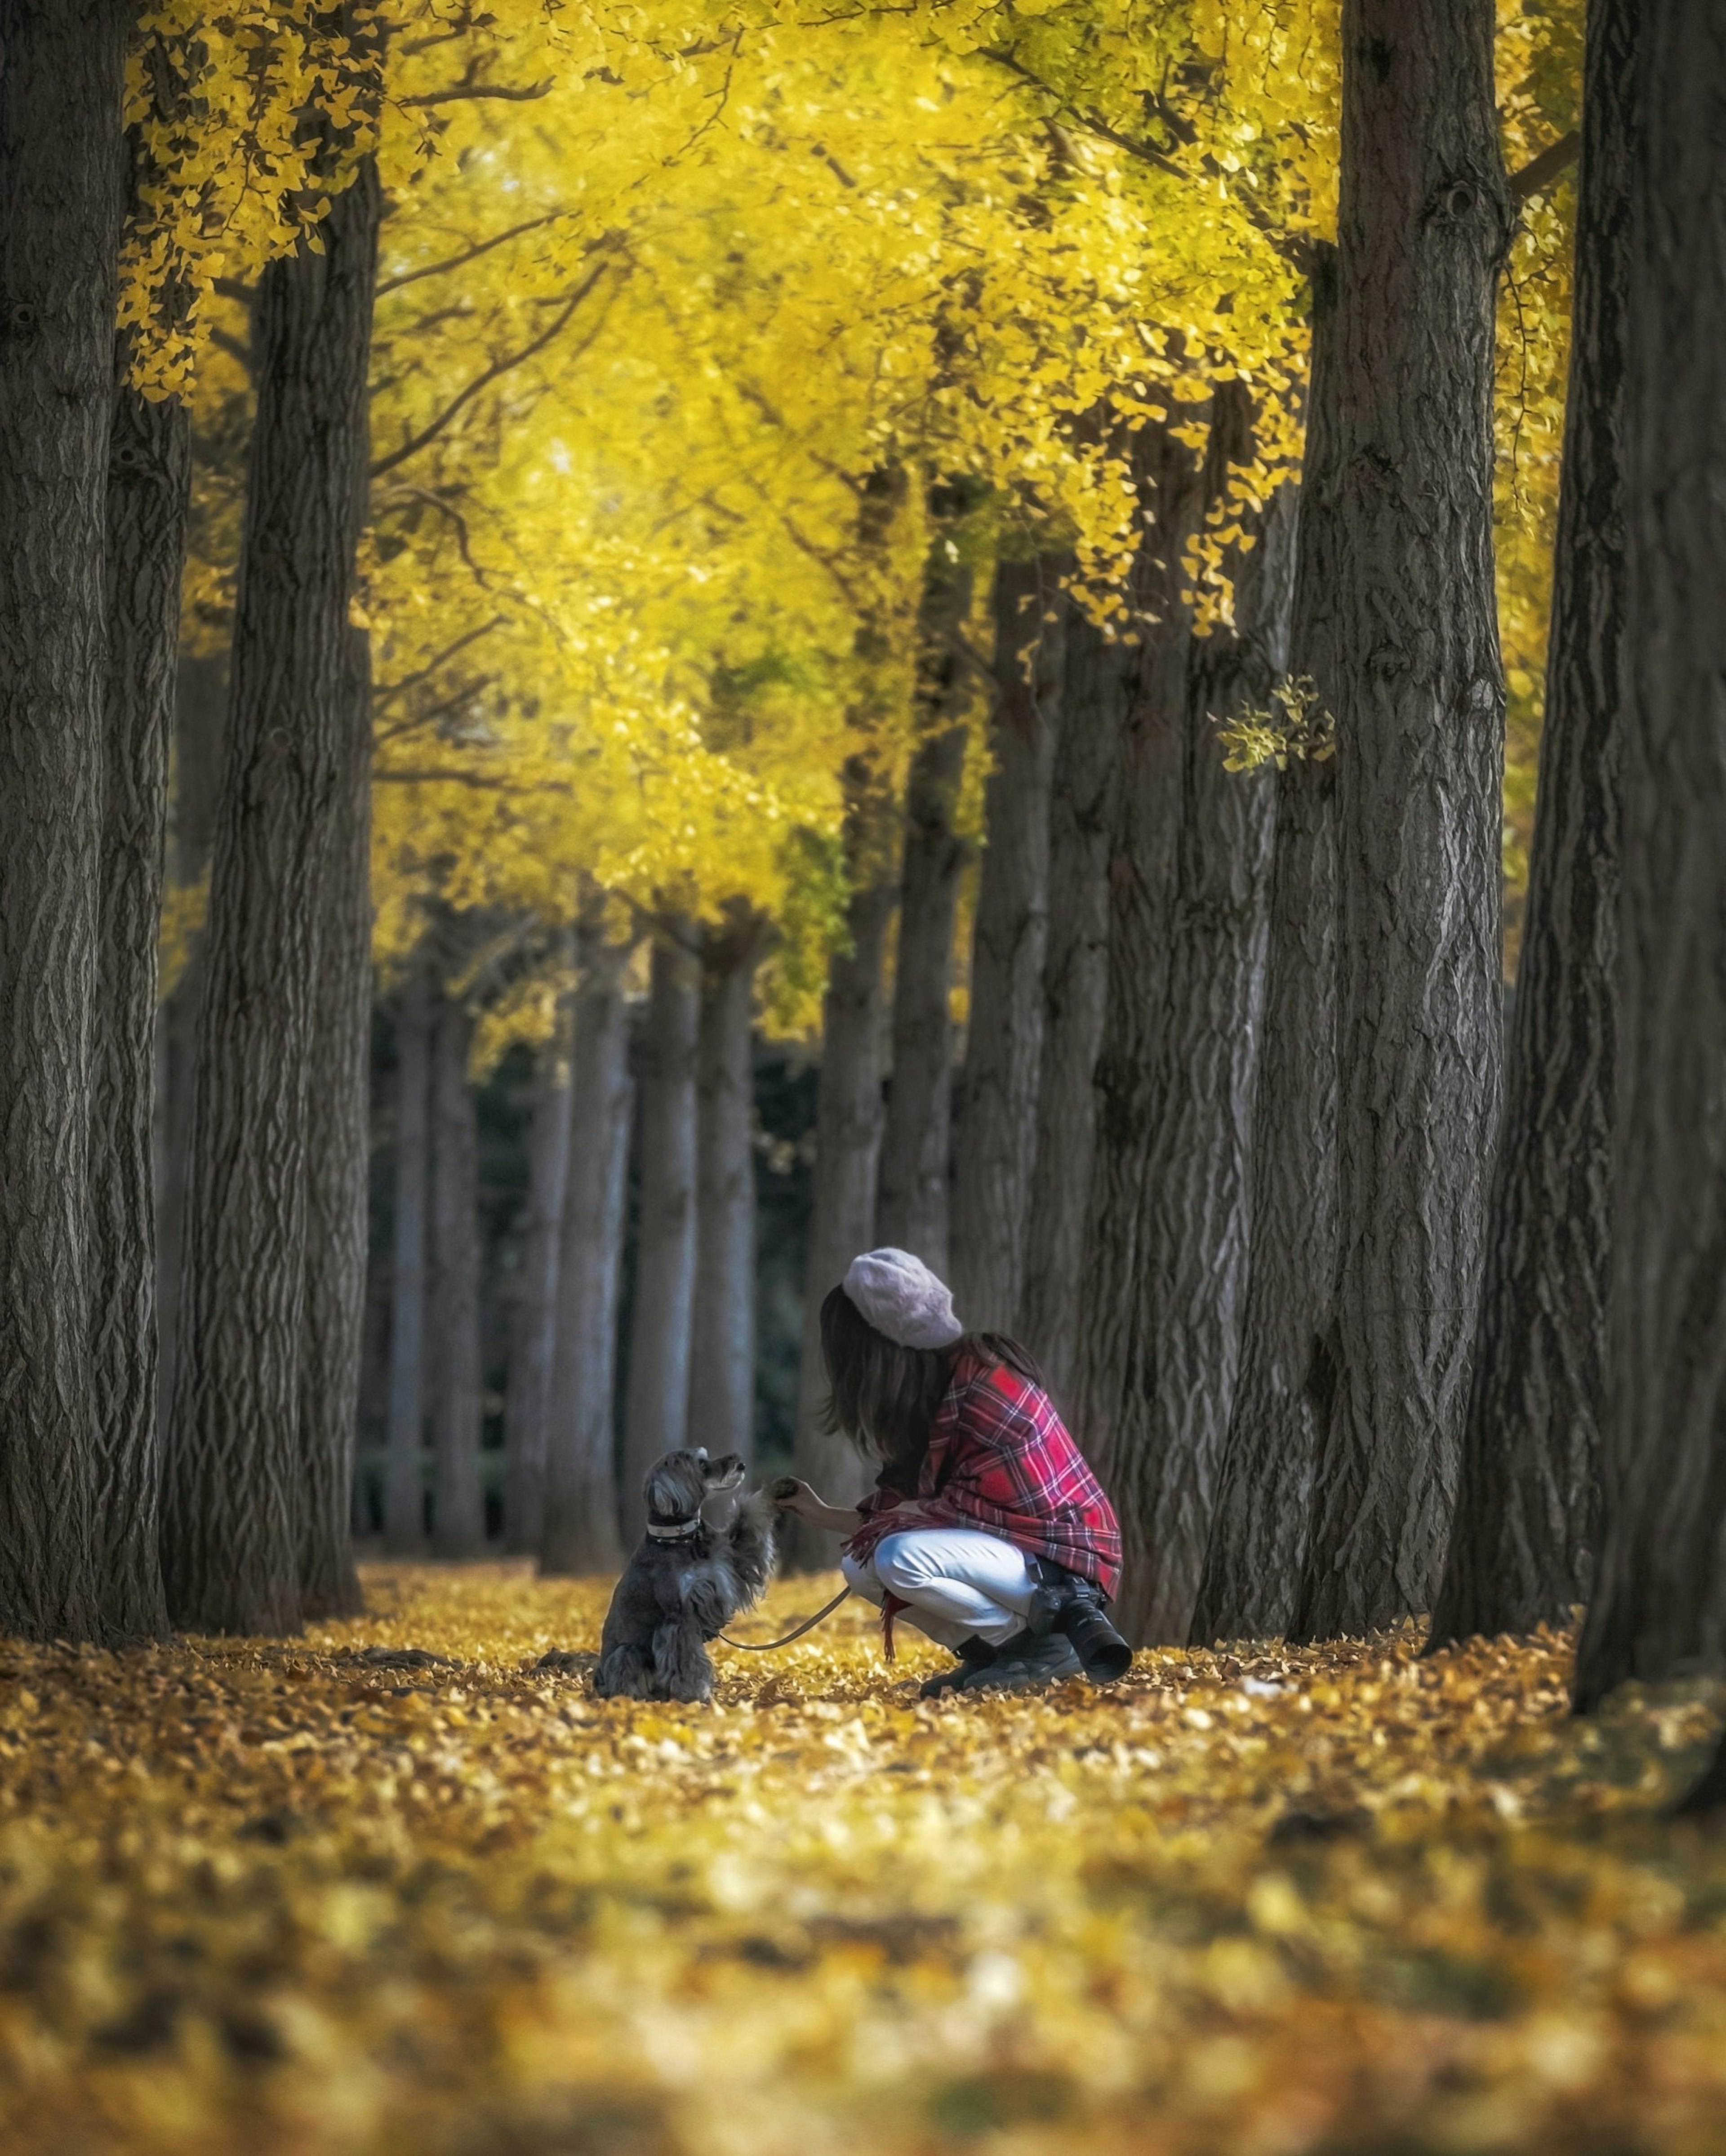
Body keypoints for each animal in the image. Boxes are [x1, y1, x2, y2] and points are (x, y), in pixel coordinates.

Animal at [595, 1448, 775, 1699]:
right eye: (702, 1465)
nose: (741, 1465)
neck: (683, 1539)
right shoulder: (679, 1617)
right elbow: (687, 1659)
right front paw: (696, 1693)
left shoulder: (728, 1568)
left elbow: (745, 1532)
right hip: (626, 1652)